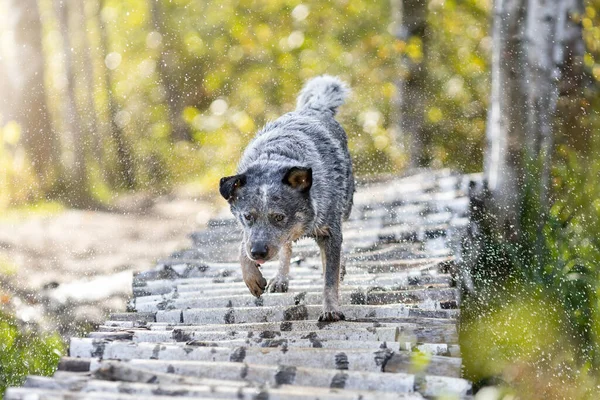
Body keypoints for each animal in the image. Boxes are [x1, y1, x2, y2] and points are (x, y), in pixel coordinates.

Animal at [219, 76, 352, 324]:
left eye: (279, 217)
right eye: (247, 216)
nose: (258, 252)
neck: (276, 157)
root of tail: (314, 108)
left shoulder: (329, 230)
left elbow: (329, 278)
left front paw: (331, 308)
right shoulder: (250, 233)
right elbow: (244, 246)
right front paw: (252, 277)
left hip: (346, 205)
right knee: (286, 247)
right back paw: (280, 278)